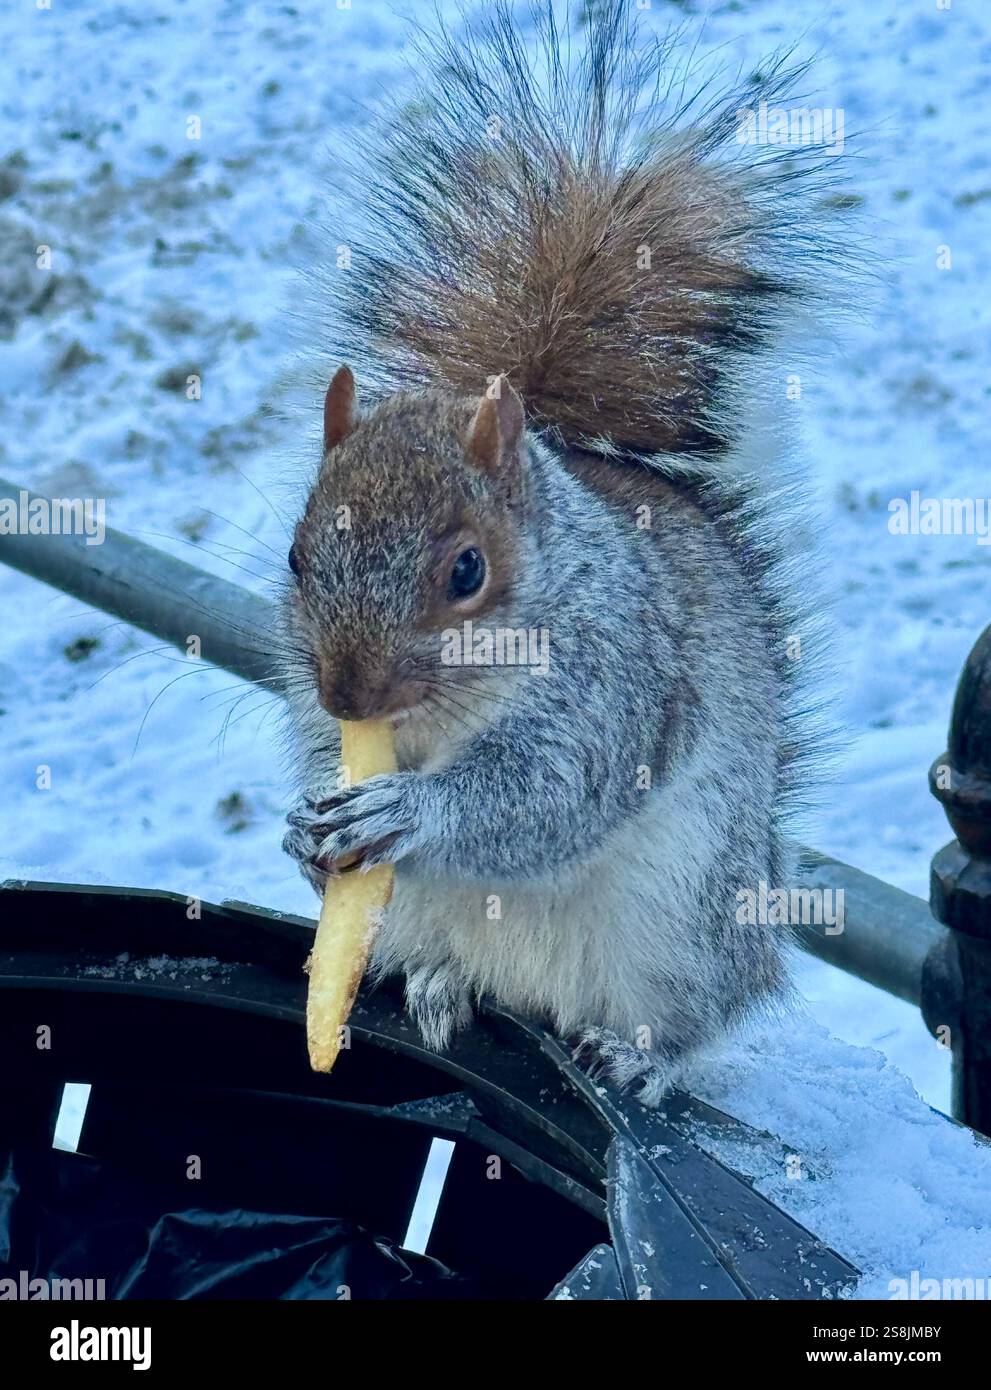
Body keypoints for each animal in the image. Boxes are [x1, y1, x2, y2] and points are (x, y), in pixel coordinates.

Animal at [280, 0, 838, 1102]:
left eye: (466, 571)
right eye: (293, 556)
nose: (348, 693)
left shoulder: (615, 680)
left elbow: (549, 793)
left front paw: (411, 811)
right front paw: (300, 833)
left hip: (683, 926)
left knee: (698, 1014)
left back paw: (636, 1058)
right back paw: (441, 984)